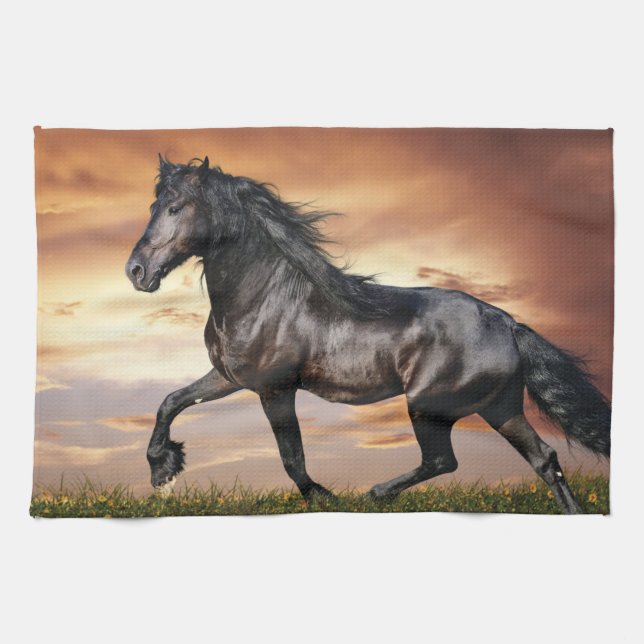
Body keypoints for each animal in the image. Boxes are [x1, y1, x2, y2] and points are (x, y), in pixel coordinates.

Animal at [125, 155, 611, 513]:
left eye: (175, 208)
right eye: (152, 207)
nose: (136, 271)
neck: (264, 297)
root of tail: (507, 323)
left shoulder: (274, 388)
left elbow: (291, 457)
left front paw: (324, 497)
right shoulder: (230, 378)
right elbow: (170, 402)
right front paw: (163, 469)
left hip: (429, 405)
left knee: (443, 460)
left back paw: (374, 493)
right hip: (499, 407)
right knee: (545, 460)